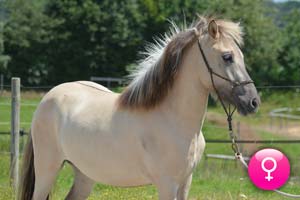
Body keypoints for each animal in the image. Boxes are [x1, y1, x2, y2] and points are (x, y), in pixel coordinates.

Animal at [19, 16, 260, 200]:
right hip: (47, 169)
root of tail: (48, 97)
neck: (172, 121)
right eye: (227, 57)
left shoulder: (185, 182)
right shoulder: (167, 184)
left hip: (84, 174)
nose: (253, 101)